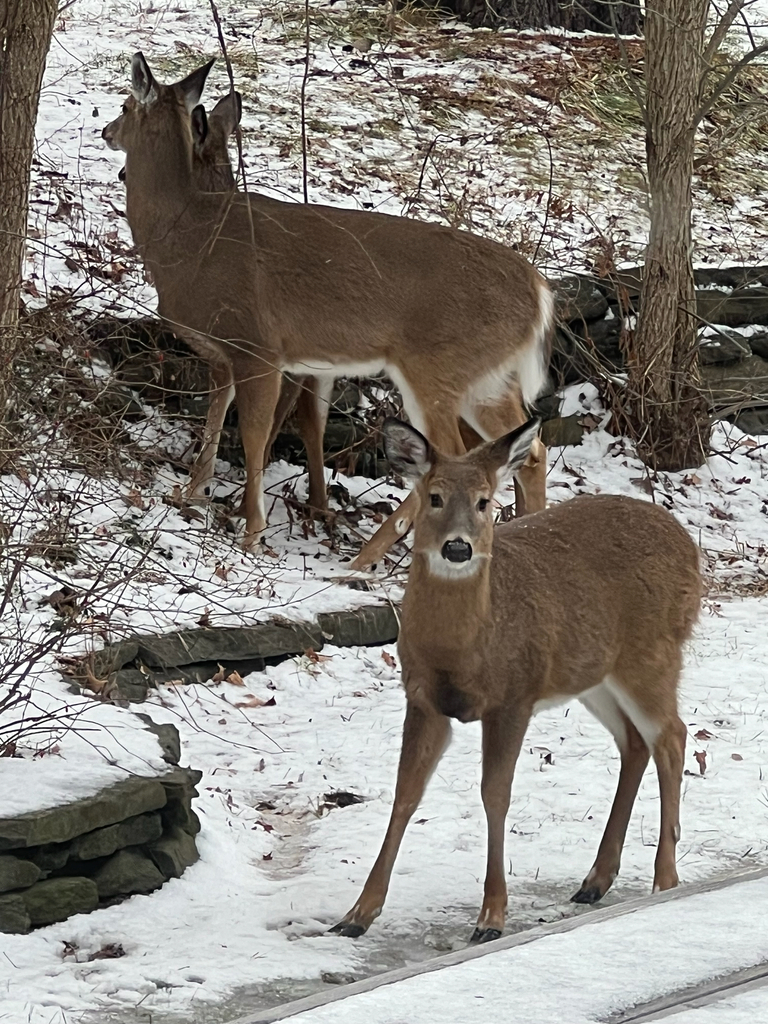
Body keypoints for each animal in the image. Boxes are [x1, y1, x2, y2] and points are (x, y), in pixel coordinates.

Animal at [102, 55, 552, 565]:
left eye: (125, 104)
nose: (106, 130)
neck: (189, 238)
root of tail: (540, 292)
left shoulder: (258, 344)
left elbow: (254, 434)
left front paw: (252, 532)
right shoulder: (227, 351)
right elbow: (216, 419)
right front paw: (191, 493)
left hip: (437, 364)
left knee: (452, 457)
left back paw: (366, 559)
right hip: (488, 378)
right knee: (528, 450)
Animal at [331, 417, 702, 943]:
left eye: (485, 501)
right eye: (435, 497)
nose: (458, 547)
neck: (463, 649)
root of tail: (691, 548)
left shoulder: (514, 695)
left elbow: (495, 794)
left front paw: (491, 916)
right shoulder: (423, 698)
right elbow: (406, 792)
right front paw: (358, 914)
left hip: (652, 653)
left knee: (671, 736)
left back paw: (664, 879)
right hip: (592, 674)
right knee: (635, 743)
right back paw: (595, 880)